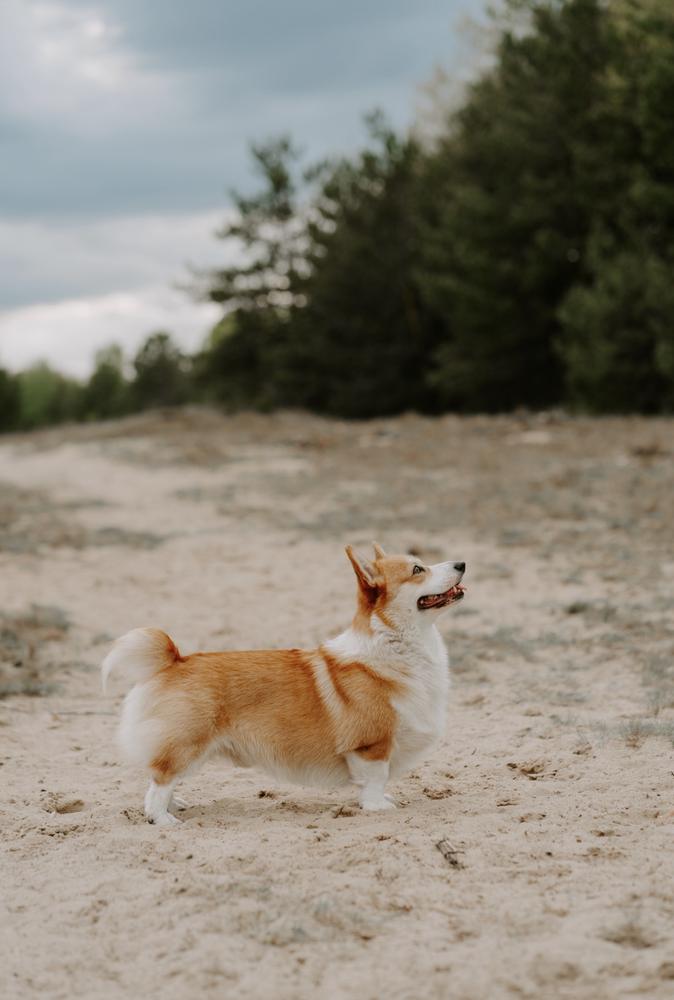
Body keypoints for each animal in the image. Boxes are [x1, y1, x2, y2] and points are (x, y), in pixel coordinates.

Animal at [101, 544, 462, 824]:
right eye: (418, 569)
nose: (462, 564)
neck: (395, 644)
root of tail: (174, 660)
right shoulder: (372, 745)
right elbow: (376, 779)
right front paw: (377, 808)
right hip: (188, 742)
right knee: (160, 780)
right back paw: (163, 819)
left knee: (163, 778)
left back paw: (175, 805)